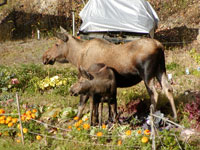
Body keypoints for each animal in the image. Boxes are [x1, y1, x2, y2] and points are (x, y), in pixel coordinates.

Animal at [43, 26, 177, 119]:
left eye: (56, 44)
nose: (45, 56)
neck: (76, 57)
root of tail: (160, 46)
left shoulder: (86, 81)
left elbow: (81, 105)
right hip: (161, 70)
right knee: (168, 89)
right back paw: (175, 116)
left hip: (147, 74)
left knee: (154, 93)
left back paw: (152, 118)